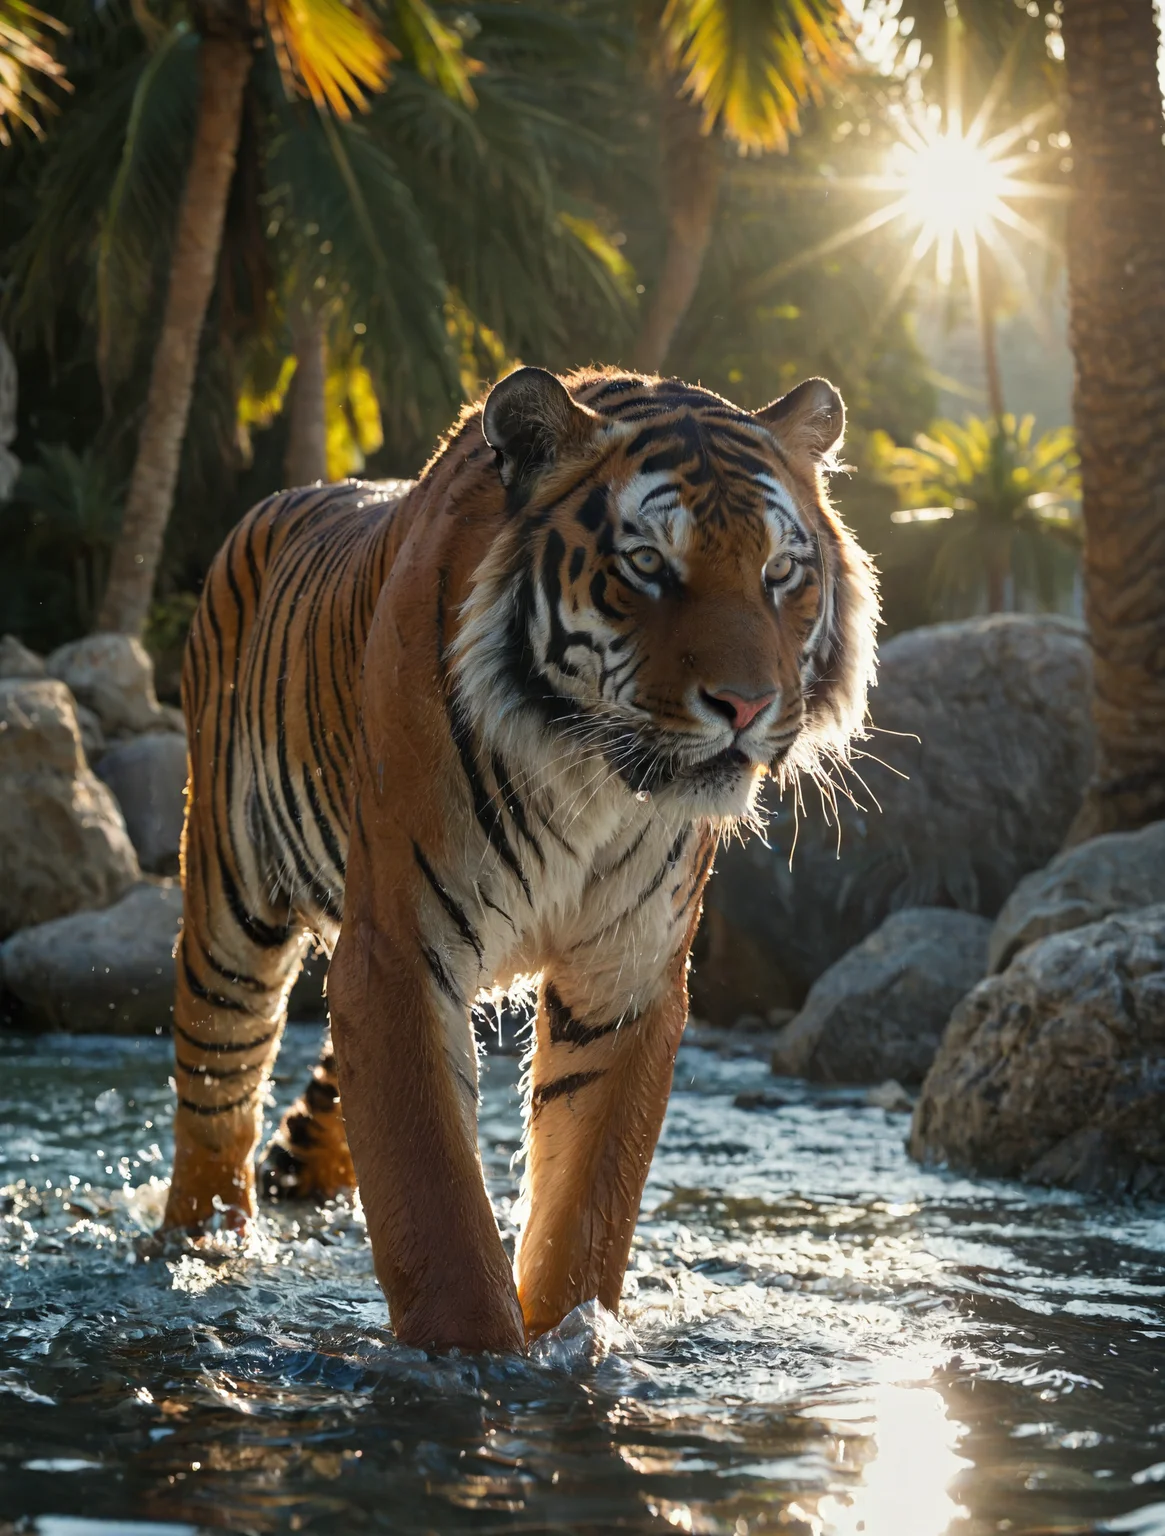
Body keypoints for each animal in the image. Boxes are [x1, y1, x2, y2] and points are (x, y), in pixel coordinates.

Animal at [161, 365, 878, 1353]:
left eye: (780, 574)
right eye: (647, 565)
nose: (744, 705)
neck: (589, 778)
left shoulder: (625, 973)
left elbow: (588, 1206)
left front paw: (573, 1344)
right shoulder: (398, 955)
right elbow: (435, 1202)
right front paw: (476, 1364)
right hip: (230, 906)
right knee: (216, 1104)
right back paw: (197, 1250)